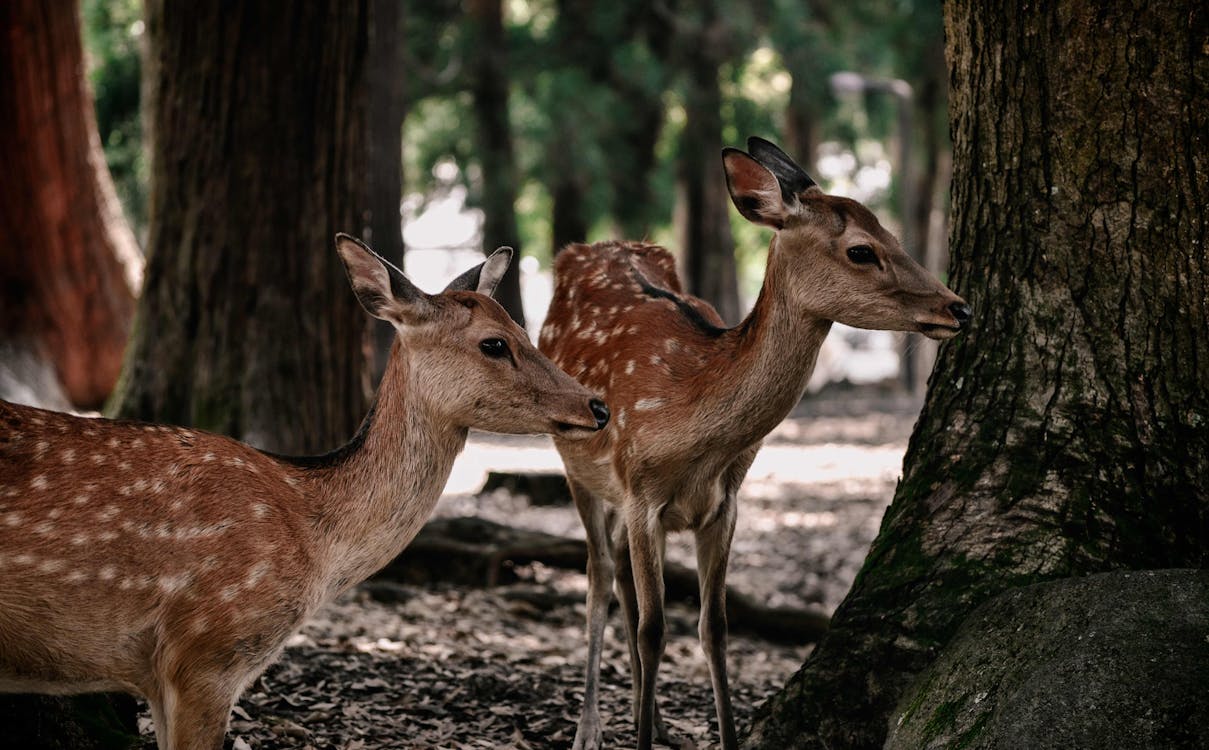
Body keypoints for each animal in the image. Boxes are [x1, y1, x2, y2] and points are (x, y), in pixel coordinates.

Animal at [0, 234, 609, 750]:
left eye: (526, 332)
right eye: (494, 343)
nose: (597, 406)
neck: (314, 540)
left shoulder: (162, 674)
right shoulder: (204, 651)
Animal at [539, 137, 972, 745]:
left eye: (894, 236)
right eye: (862, 251)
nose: (959, 307)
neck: (691, 427)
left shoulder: (724, 503)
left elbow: (714, 627)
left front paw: (719, 734)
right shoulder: (642, 492)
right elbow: (655, 630)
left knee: (620, 572)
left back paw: (654, 719)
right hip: (577, 464)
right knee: (600, 577)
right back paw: (590, 727)